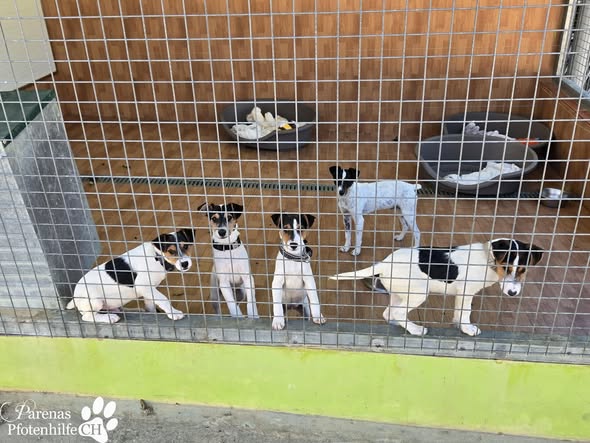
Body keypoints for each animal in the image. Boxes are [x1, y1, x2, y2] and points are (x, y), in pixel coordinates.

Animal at [330, 238, 543, 336]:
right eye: (506, 268)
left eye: (522, 270)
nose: (512, 293)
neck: (487, 258)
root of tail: (383, 263)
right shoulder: (467, 292)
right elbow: (465, 312)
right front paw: (467, 329)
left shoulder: (461, 294)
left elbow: (458, 312)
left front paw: (459, 325)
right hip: (418, 293)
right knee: (398, 312)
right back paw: (415, 329)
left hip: (399, 292)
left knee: (389, 313)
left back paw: (400, 324)